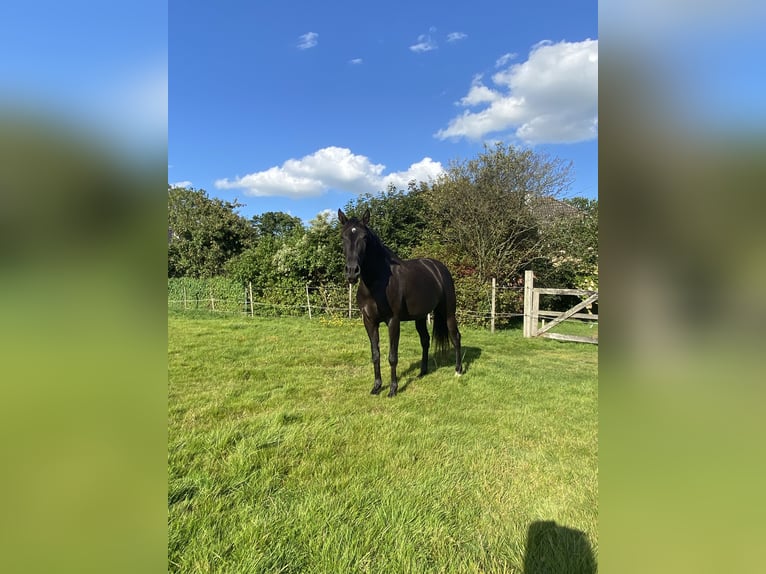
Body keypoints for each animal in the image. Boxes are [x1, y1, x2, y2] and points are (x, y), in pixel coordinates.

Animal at [338, 208, 462, 397]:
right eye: (343, 236)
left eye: (364, 237)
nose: (352, 272)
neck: (377, 283)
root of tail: (439, 268)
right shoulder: (369, 321)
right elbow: (375, 354)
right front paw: (376, 387)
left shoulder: (393, 321)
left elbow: (392, 356)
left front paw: (393, 389)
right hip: (420, 316)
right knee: (425, 340)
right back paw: (422, 372)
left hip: (448, 313)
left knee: (456, 337)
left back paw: (458, 371)